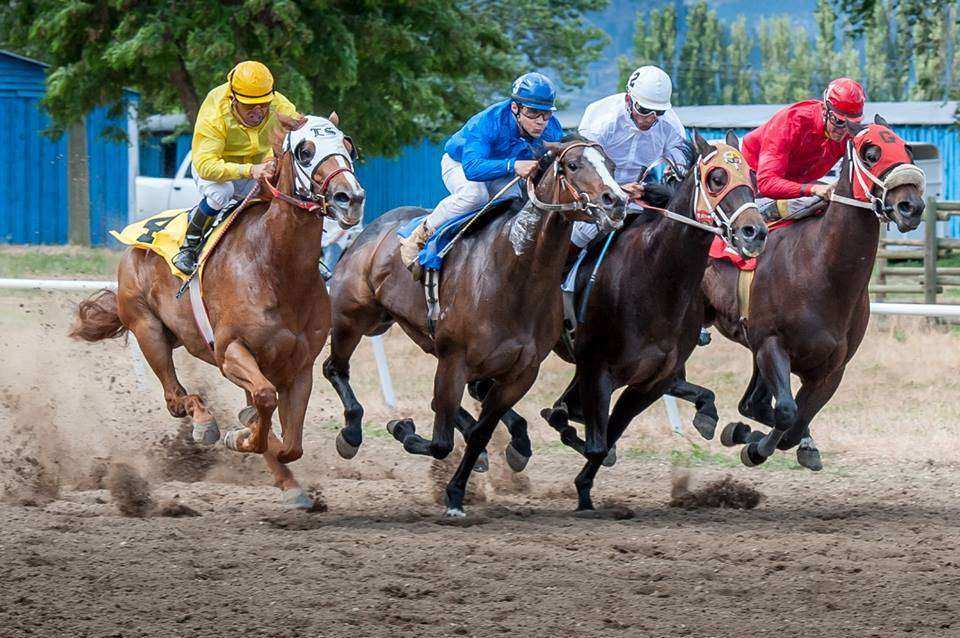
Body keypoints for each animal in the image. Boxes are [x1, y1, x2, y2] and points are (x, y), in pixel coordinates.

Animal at [69, 112, 366, 508]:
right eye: (306, 151)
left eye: (348, 146)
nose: (350, 198)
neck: (276, 268)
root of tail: (134, 244)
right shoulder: (230, 352)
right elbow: (265, 401)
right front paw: (238, 435)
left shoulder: (299, 367)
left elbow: (291, 444)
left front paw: (257, 439)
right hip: (148, 330)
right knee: (175, 398)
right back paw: (205, 424)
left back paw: (286, 481)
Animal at [318, 138, 628, 516]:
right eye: (572, 165)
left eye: (611, 165)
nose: (616, 201)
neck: (516, 274)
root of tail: (370, 230)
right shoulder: (455, 359)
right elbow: (440, 441)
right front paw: (402, 427)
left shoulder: (521, 372)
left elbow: (480, 431)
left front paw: (456, 491)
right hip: (351, 316)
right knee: (335, 368)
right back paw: (350, 433)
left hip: (407, 328)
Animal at [540, 130, 772, 510]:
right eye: (717, 178)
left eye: (751, 179)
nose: (754, 232)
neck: (654, 276)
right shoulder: (597, 369)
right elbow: (594, 440)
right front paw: (585, 497)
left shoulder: (651, 382)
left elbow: (606, 435)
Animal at [672, 117, 928, 472]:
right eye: (870, 152)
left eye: (908, 149)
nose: (911, 207)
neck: (822, 271)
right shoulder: (771, 345)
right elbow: (785, 412)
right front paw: (753, 446)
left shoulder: (831, 369)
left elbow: (790, 423)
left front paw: (757, 438)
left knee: (750, 403)